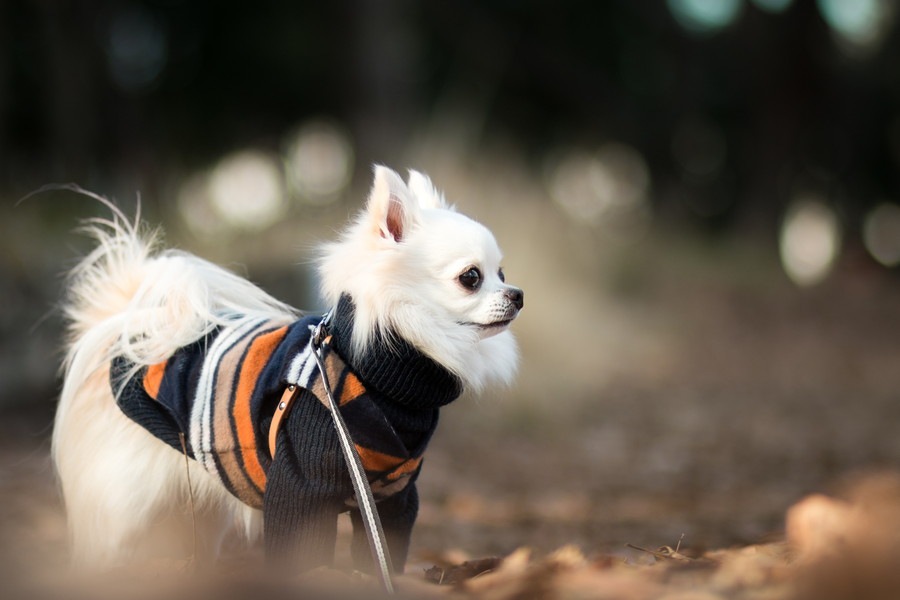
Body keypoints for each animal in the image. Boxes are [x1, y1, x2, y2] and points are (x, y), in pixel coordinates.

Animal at [52, 164, 524, 572]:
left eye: (502, 272)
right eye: (471, 277)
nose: (517, 294)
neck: (377, 371)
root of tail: (127, 326)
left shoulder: (392, 497)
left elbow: (379, 557)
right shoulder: (301, 486)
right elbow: (302, 554)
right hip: (126, 506)